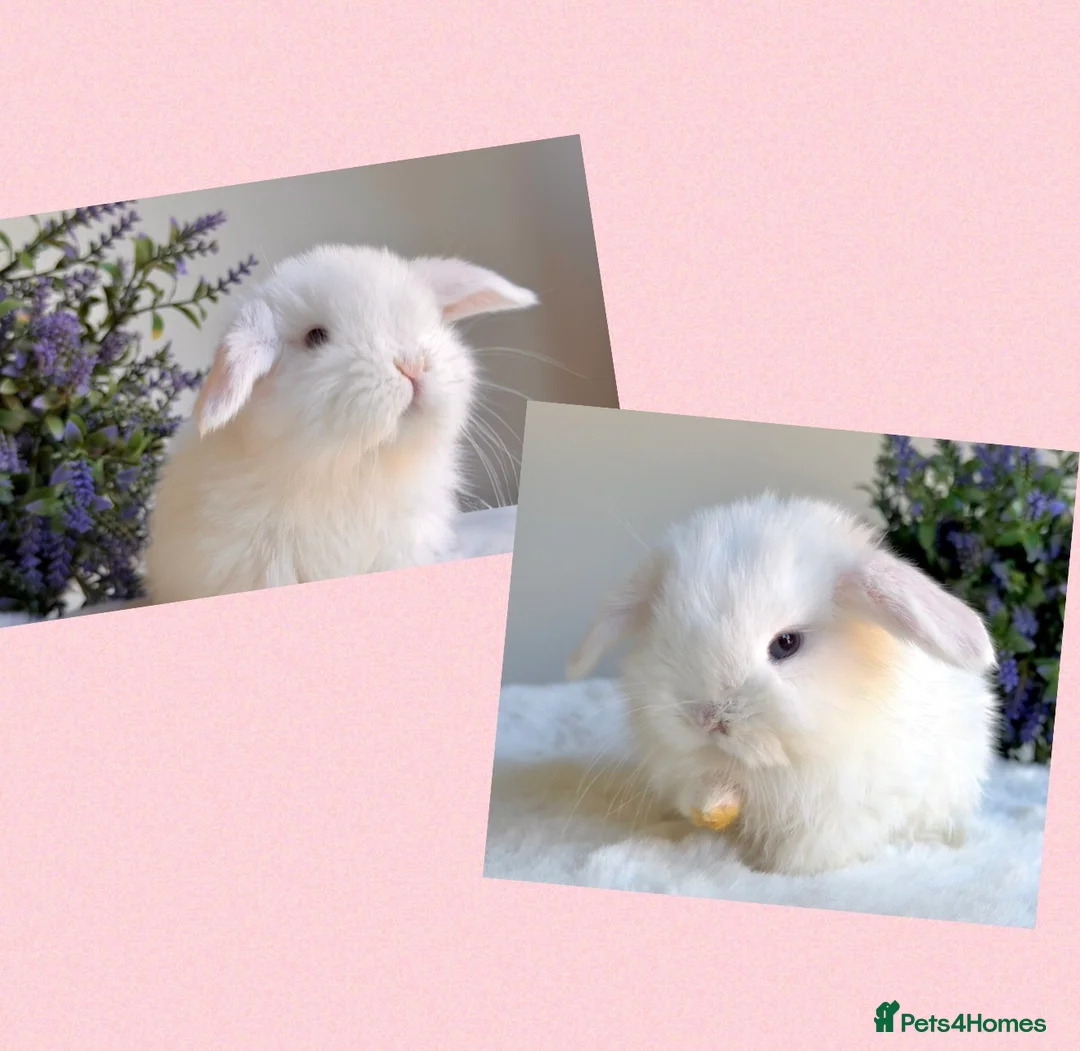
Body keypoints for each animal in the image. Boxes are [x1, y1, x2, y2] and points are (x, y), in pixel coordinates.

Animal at [566, 491, 1000, 875]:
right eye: (667, 637)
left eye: (786, 643)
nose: (708, 718)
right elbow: (705, 791)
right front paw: (713, 811)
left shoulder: (847, 808)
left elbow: (809, 850)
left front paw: (772, 870)